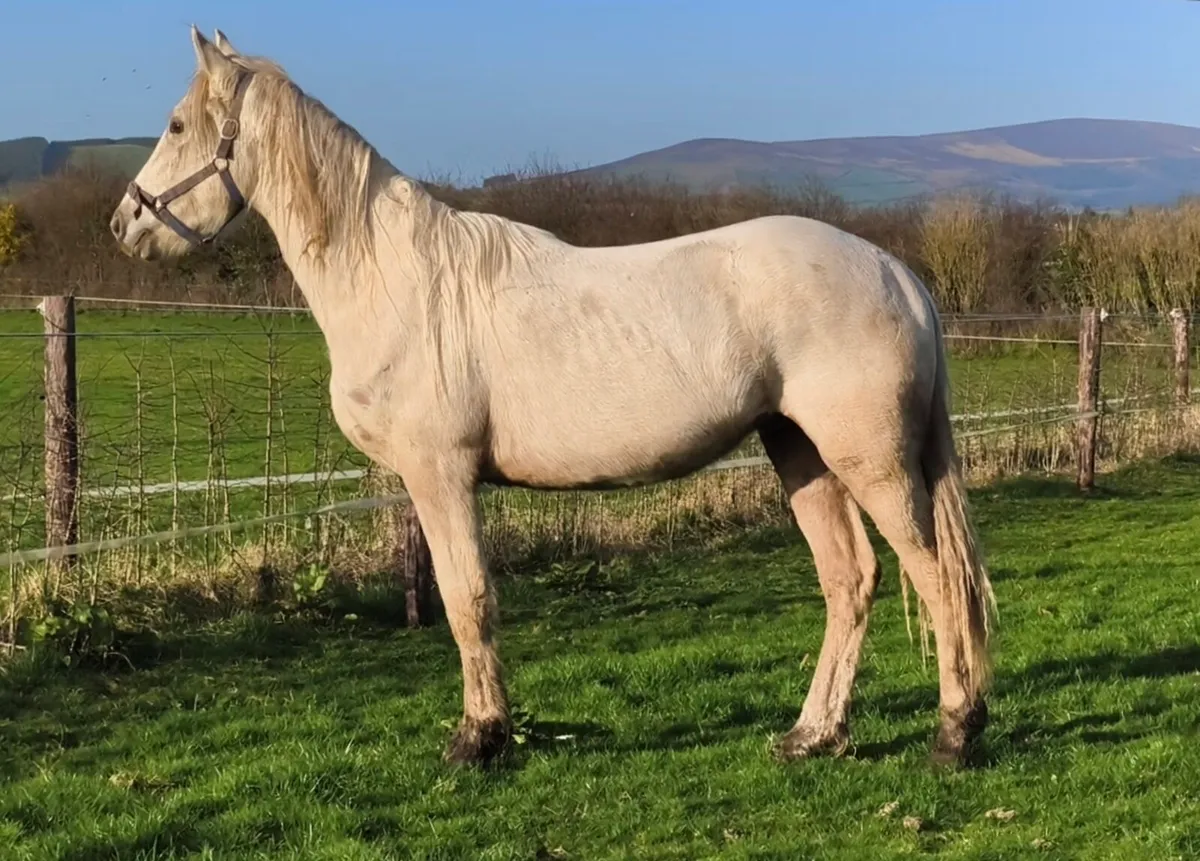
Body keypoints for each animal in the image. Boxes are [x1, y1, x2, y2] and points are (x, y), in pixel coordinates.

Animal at [110, 26, 997, 769]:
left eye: (178, 126)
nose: (123, 224)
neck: (395, 278)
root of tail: (898, 272)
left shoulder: (440, 477)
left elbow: (467, 601)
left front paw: (480, 737)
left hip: (871, 462)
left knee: (935, 577)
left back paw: (955, 734)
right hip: (800, 453)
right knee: (851, 580)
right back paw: (814, 733)